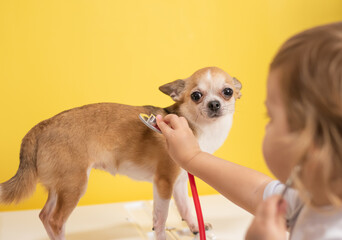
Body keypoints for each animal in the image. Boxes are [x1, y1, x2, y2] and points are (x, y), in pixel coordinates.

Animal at [0, 66, 242, 239]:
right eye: (196, 95)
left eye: (228, 92)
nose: (214, 104)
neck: (194, 126)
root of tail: (42, 126)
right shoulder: (163, 182)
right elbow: (161, 218)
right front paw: (162, 234)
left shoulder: (180, 182)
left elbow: (185, 208)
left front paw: (194, 227)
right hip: (74, 184)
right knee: (56, 220)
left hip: (58, 186)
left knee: (44, 215)